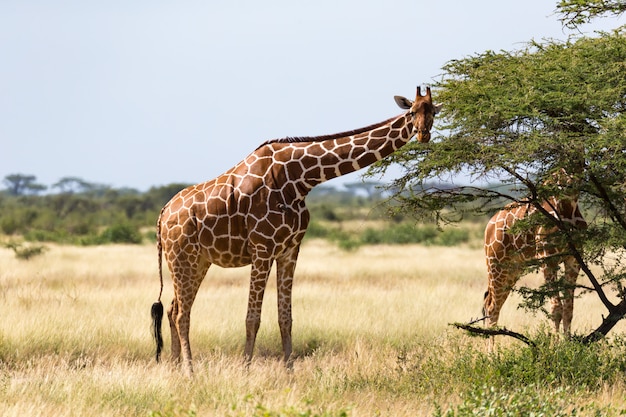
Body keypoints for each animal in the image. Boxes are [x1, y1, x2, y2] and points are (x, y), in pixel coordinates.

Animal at [150, 87, 438, 374]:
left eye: (433, 111)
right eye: (412, 111)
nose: (423, 134)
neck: (300, 179)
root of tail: (163, 213)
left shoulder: (290, 249)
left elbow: (285, 317)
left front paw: (289, 372)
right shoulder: (262, 248)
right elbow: (252, 318)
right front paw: (245, 371)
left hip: (199, 260)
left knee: (173, 309)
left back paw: (174, 368)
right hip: (182, 257)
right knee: (182, 313)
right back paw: (189, 371)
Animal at [482, 169, 584, 348]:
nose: (571, 184)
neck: (568, 205)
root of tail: (489, 225)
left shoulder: (573, 259)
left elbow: (568, 309)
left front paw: (568, 346)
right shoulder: (548, 258)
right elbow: (556, 309)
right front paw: (556, 348)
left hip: (513, 269)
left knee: (491, 304)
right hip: (496, 265)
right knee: (492, 307)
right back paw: (490, 354)